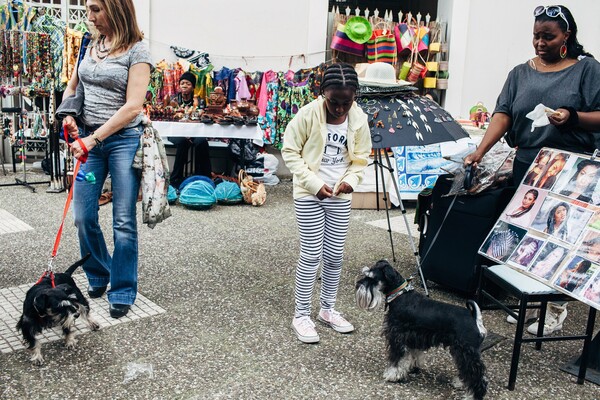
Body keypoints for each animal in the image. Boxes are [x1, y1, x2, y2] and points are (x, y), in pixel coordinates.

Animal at [356, 260, 488, 400]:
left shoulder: (397, 337)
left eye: (371, 278)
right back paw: (460, 383)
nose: (357, 286)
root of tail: (474, 317)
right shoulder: (413, 338)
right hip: (462, 352)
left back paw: (473, 395)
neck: (399, 295)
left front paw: (392, 375)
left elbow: (397, 359)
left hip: (466, 352)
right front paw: (411, 368)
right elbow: (413, 355)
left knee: (478, 377)